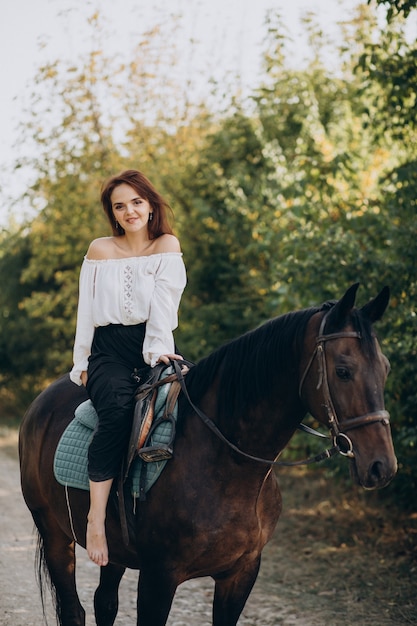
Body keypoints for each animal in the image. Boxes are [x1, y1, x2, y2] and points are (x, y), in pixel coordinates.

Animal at [19, 284, 396, 624]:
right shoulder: (158, 579)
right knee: (74, 611)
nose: (382, 466)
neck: (225, 462)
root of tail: (41, 403)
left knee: (105, 603)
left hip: (113, 552)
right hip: (55, 533)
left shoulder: (241, 574)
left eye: (385, 368)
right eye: (343, 371)